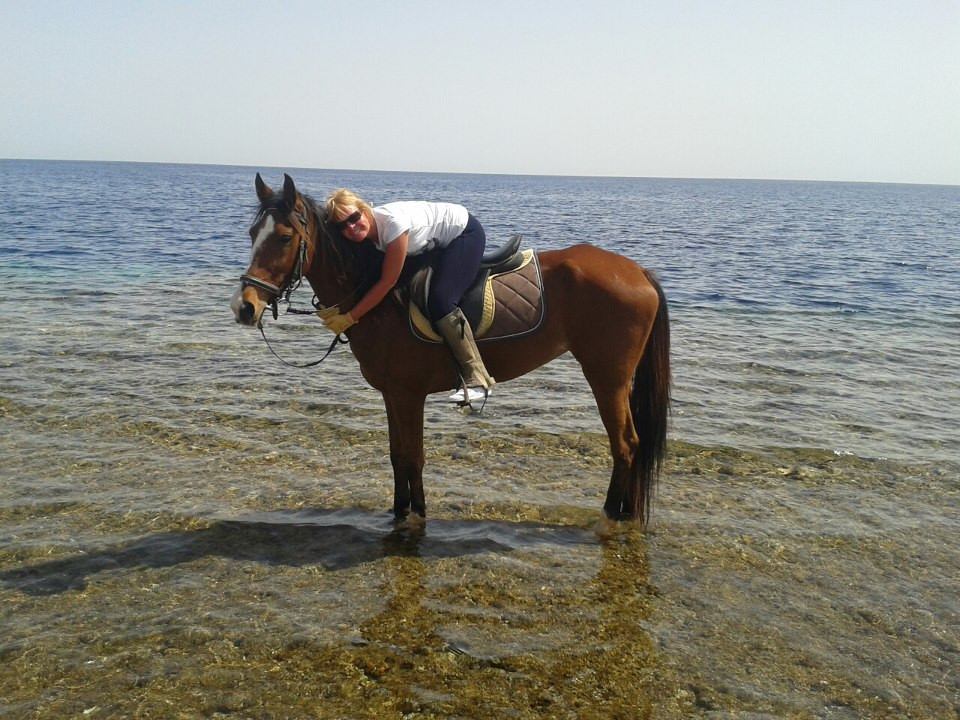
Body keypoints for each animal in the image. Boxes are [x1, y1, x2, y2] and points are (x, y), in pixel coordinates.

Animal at [231, 174, 671, 533]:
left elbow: (413, 457)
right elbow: (398, 456)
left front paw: (416, 517)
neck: (378, 295)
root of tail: (638, 271)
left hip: (607, 377)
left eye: (284, 236)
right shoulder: (393, 395)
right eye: (252, 233)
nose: (244, 307)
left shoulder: (409, 395)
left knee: (625, 444)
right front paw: (399, 513)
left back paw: (610, 517)